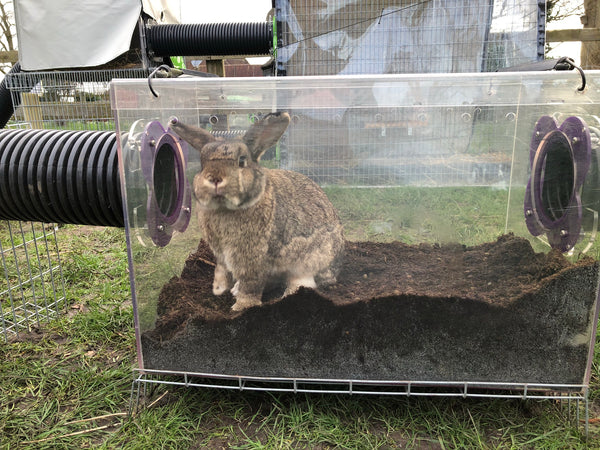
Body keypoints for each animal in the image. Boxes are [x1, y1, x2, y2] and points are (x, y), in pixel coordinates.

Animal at [171, 111, 344, 312]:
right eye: (202, 162)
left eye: (241, 161)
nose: (214, 178)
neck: (225, 208)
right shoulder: (222, 255)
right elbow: (224, 272)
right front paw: (220, 289)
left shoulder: (253, 258)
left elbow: (251, 285)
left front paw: (241, 307)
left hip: (310, 260)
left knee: (302, 282)